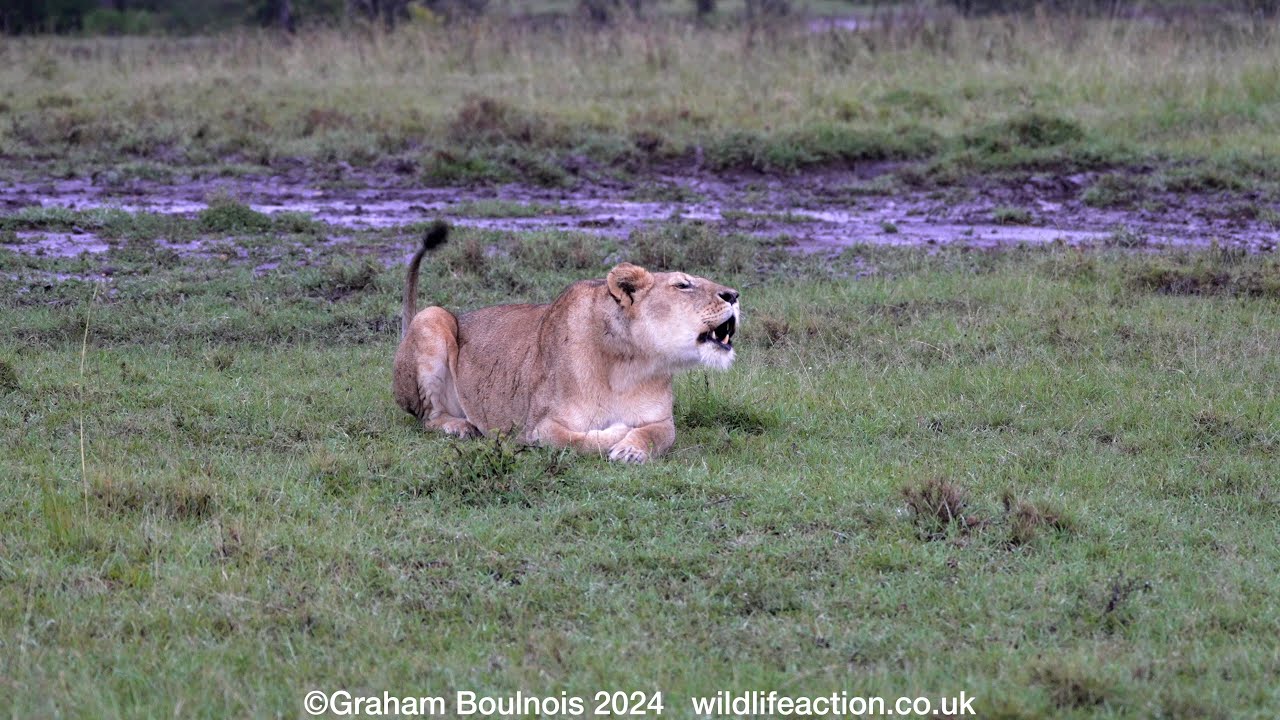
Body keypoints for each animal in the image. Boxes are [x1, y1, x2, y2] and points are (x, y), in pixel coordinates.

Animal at [392, 222, 740, 464]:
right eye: (683, 285)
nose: (735, 295)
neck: (630, 364)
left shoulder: (662, 421)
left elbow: (656, 436)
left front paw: (631, 450)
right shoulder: (539, 427)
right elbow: (580, 442)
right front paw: (617, 434)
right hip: (431, 316)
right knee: (428, 418)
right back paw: (461, 427)